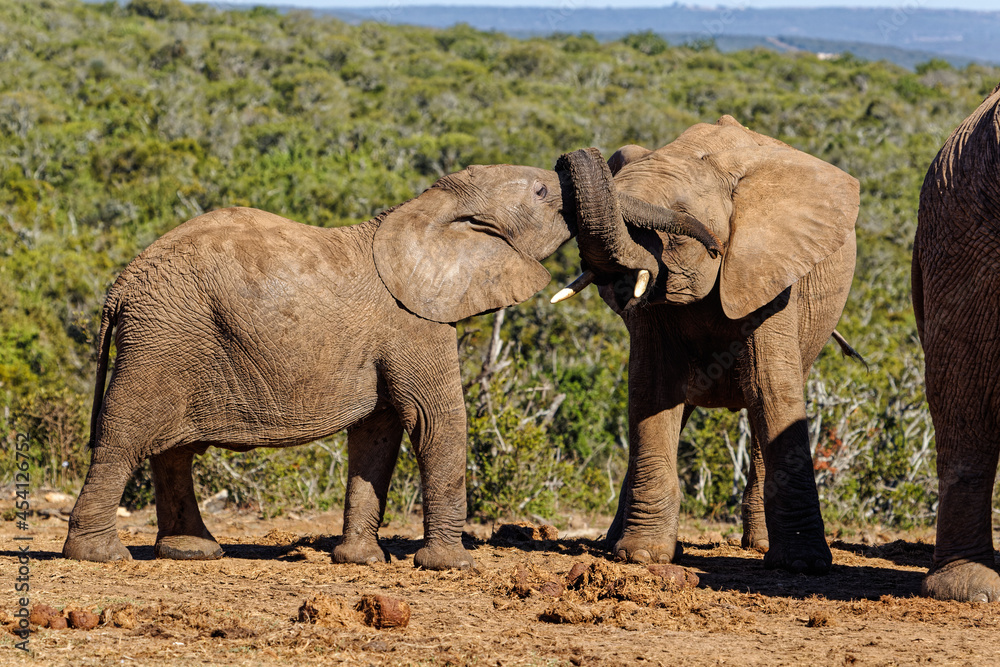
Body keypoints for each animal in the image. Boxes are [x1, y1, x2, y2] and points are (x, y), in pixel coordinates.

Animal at [62, 161, 720, 569]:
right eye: (539, 194)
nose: (714, 245)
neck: (427, 208)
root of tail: (118, 288)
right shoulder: (414, 322)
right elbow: (435, 422)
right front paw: (451, 565)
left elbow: (376, 436)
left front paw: (358, 561)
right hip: (162, 338)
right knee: (124, 436)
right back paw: (100, 557)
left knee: (174, 449)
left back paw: (192, 552)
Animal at [553, 115, 860, 574]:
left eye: (678, 221)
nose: (714, 245)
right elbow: (652, 389)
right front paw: (641, 555)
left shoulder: (770, 274)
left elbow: (771, 390)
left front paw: (803, 565)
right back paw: (613, 544)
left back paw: (758, 546)